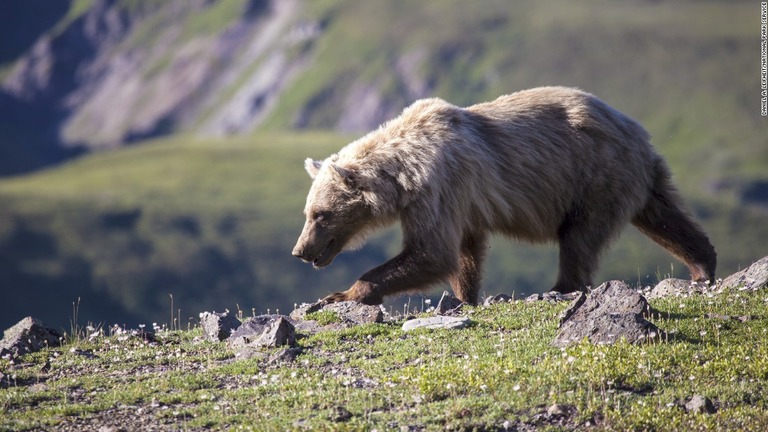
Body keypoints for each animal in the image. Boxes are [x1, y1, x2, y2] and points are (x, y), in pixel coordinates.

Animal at [292, 86, 716, 306]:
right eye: (308, 212)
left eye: (320, 214)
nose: (300, 251)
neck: (402, 174)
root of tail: (637, 131)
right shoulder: (459, 200)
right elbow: (464, 252)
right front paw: (464, 296)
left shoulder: (439, 186)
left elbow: (432, 251)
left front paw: (342, 294)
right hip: (637, 177)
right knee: (665, 216)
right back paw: (702, 265)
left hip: (594, 177)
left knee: (580, 238)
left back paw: (560, 287)